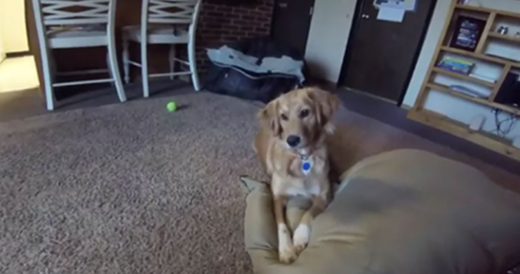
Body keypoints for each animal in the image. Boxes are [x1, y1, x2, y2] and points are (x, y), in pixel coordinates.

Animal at [253, 88, 342, 264]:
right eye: (283, 116)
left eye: (305, 112)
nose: (292, 140)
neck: (301, 159)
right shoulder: (277, 198)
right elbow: (281, 225)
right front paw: (286, 249)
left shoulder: (323, 196)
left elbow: (308, 214)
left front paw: (300, 237)